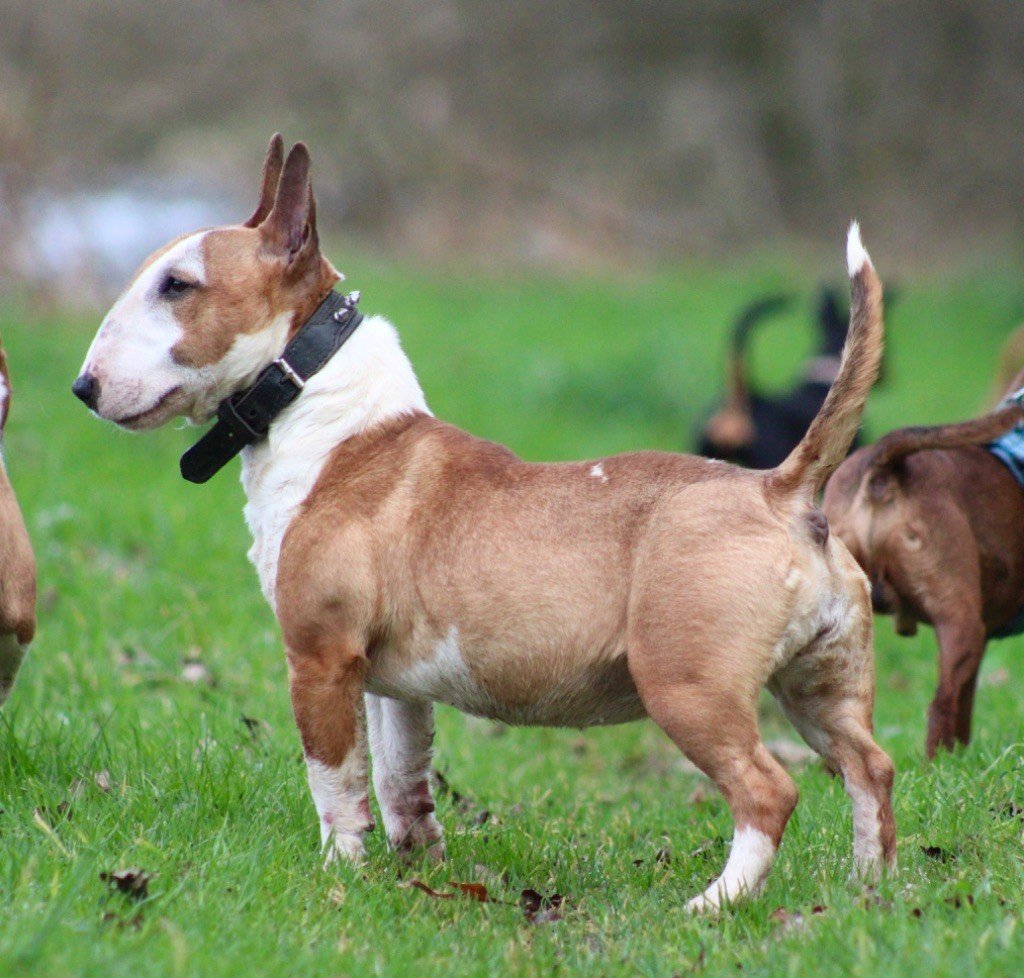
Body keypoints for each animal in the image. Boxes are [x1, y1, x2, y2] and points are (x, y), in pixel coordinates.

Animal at [75, 136, 897, 909]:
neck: (325, 415)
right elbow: (401, 779)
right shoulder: (395, 685)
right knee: (870, 767)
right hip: (820, 685)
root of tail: (780, 489)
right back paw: (870, 890)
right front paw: (419, 867)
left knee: (768, 790)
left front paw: (340, 877)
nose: (83, 388)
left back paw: (713, 903)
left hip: (689, 685)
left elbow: (334, 783)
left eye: (178, 285)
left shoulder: (320, 657)